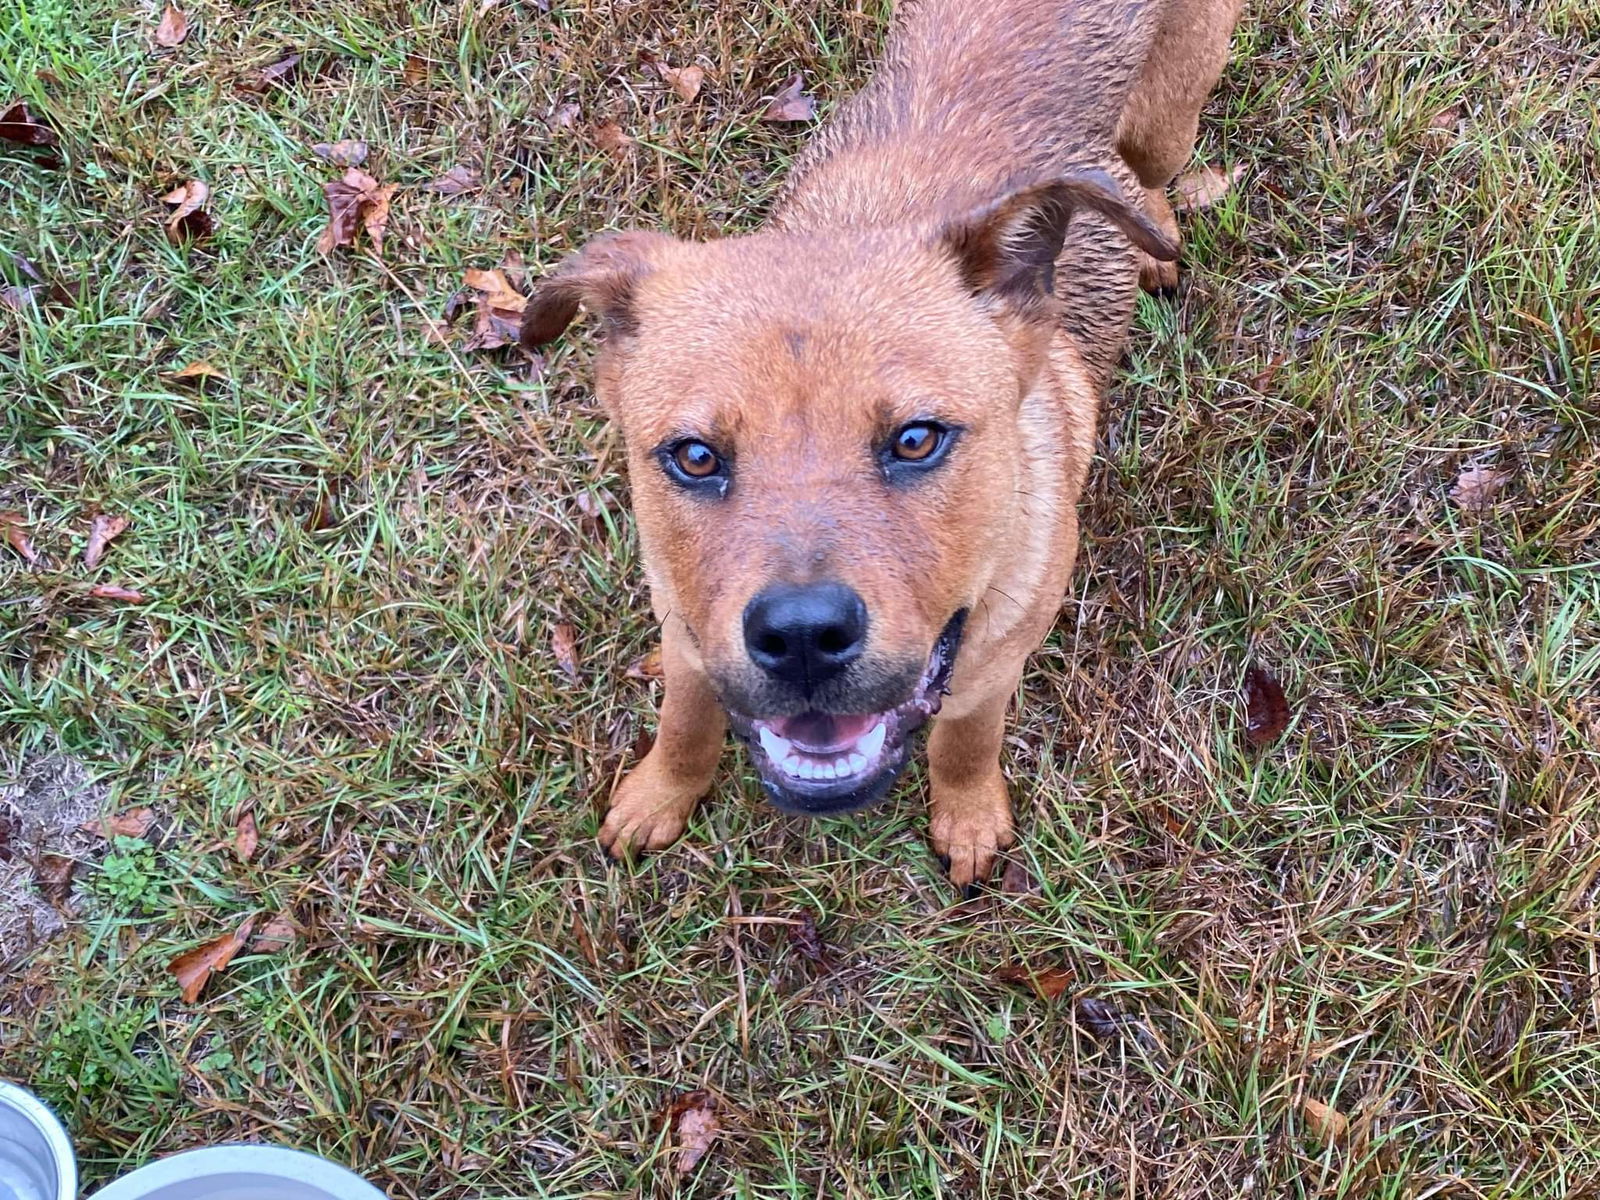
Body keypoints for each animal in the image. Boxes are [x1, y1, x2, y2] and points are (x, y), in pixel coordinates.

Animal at [521, 0, 1235, 883]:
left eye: (918, 439)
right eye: (694, 456)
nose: (801, 638)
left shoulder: (994, 664)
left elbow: (966, 741)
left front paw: (968, 817)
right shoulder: (683, 630)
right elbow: (685, 717)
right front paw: (660, 794)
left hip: (1171, 106)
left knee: (1150, 172)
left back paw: (1154, 238)